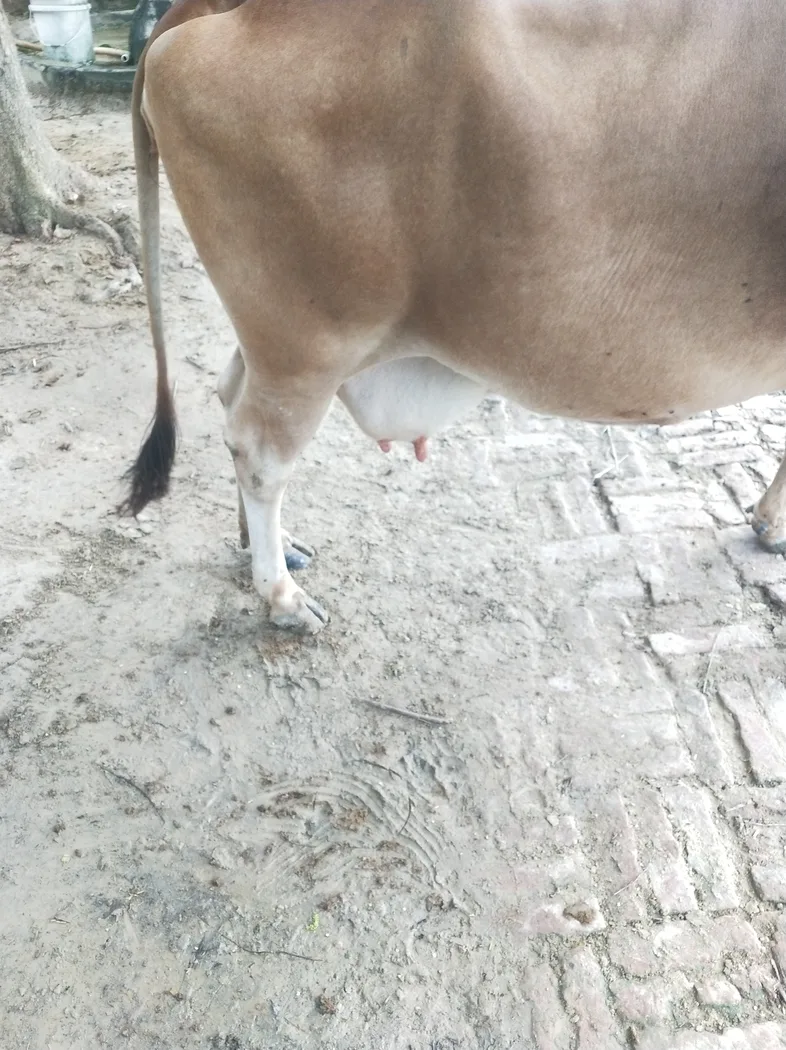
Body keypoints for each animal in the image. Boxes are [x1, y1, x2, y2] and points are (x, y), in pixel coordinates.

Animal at [124, 0, 786, 635]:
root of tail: (240, 9)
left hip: (276, 344)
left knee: (230, 395)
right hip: (306, 346)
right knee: (259, 453)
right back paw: (283, 598)